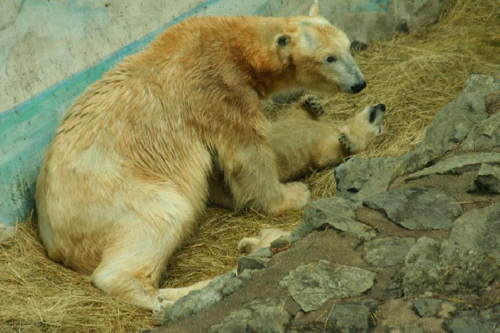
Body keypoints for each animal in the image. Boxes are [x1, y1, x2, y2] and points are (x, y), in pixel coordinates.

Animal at [34, 0, 364, 316]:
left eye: (347, 47)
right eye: (329, 58)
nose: (359, 83)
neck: (235, 46)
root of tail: (53, 239)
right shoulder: (220, 90)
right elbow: (246, 152)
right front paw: (291, 195)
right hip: (114, 196)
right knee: (162, 217)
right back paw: (176, 295)